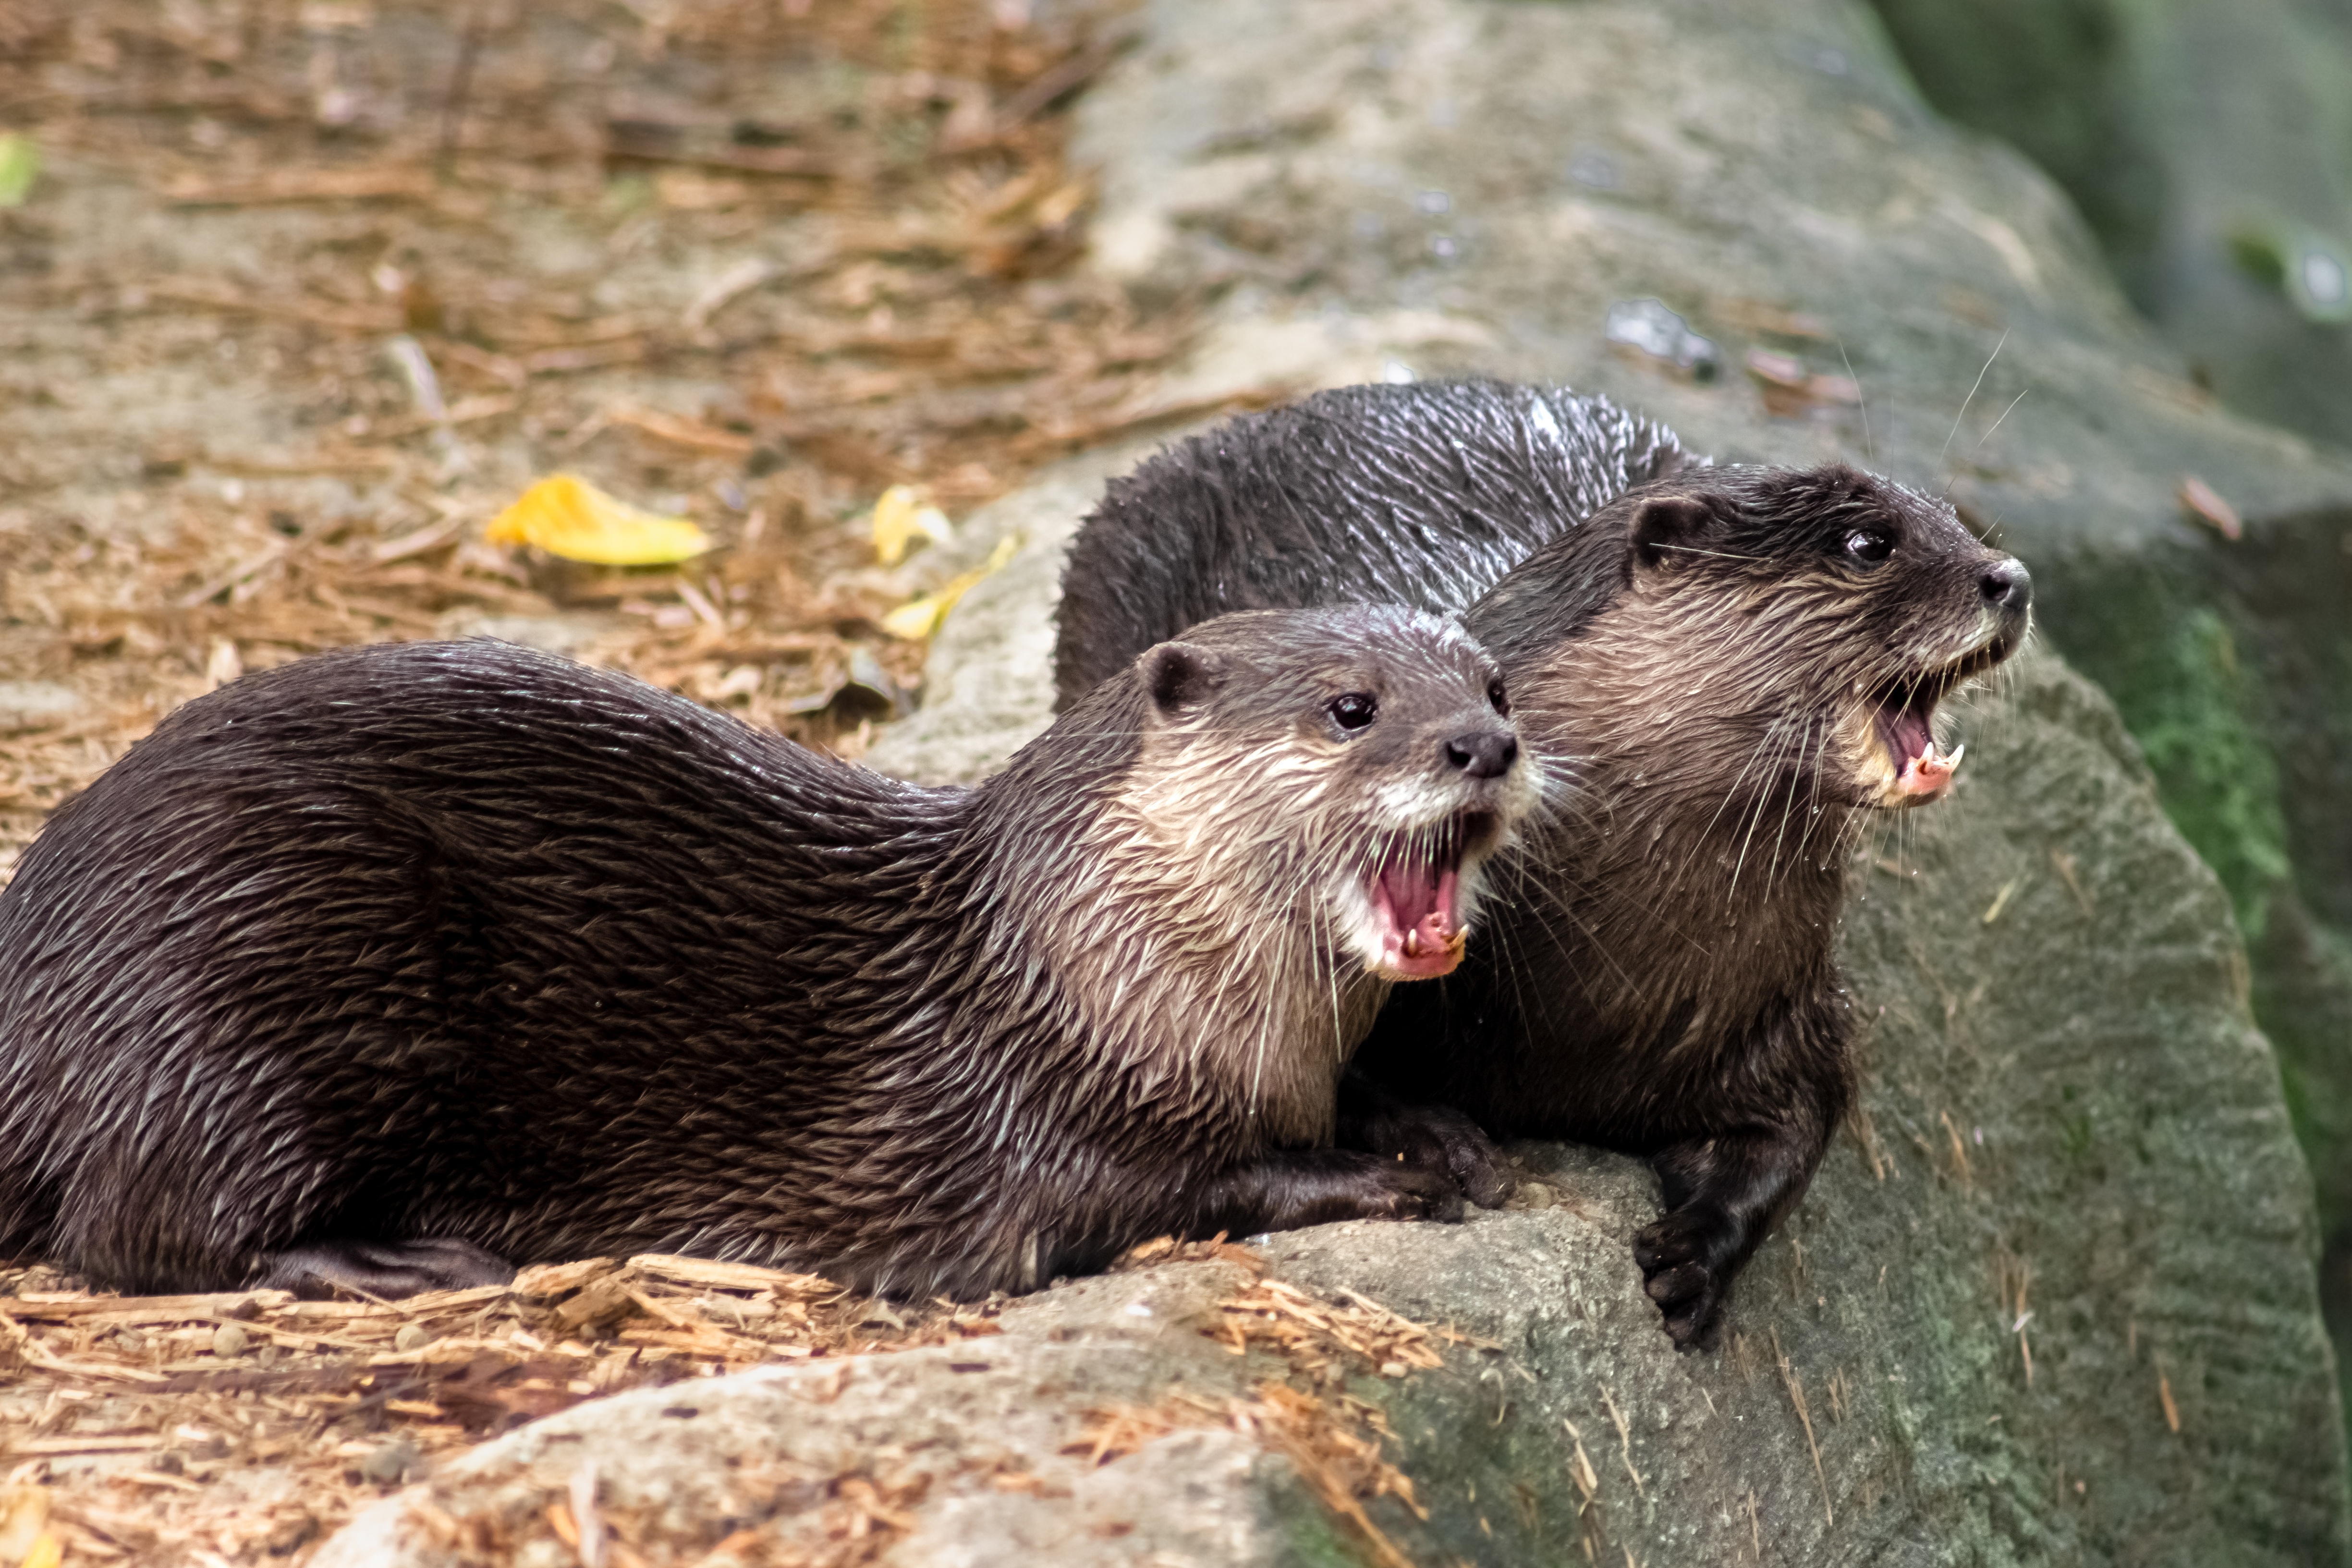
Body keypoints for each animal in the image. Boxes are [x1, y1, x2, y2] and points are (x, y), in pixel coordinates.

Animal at [0, 606, 1533, 1307]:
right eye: (1352, 707)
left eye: (1496, 684)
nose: (1486, 745)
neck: (1085, 975)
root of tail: (40, 968)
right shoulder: (1033, 1125)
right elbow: (1175, 1187)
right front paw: (1377, 1173)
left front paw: (1432, 1124)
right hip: (250, 963)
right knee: (140, 1229)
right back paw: (393, 1259)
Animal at [1058, 383, 2032, 1354]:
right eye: (1868, 544)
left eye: (1959, 522)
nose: (2011, 579)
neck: (1615, 985)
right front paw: (1443, 1143)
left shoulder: (1788, 1007)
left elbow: (1797, 1131)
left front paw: (1691, 1257)